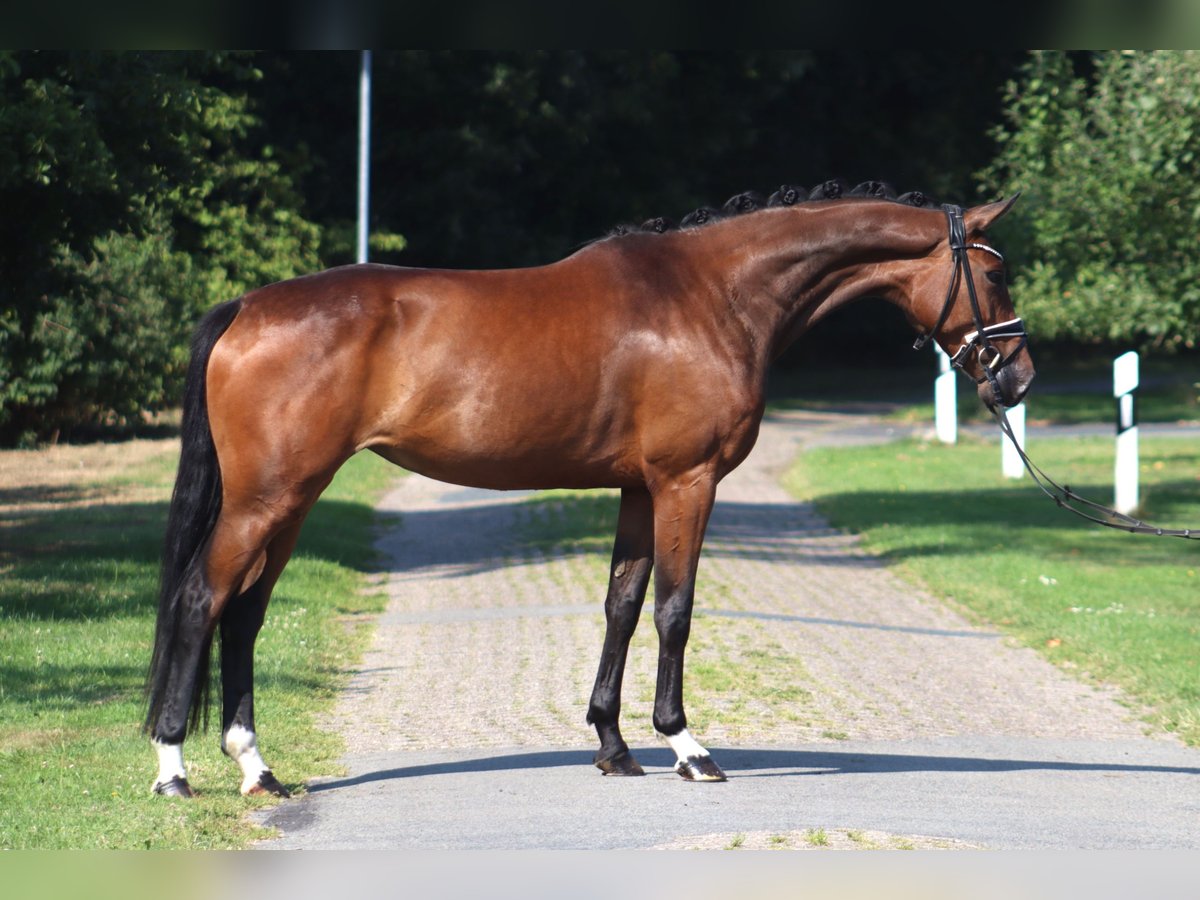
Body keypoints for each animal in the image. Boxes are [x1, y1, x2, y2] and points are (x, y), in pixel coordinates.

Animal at [147, 181, 1032, 796]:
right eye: (995, 275)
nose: (1019, 376)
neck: (714, 296)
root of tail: (245, 306)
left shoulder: (640, 490)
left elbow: (624, 603)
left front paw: (612, 745)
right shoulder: (686, 482)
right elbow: (675, 609)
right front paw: (686, 746)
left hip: (291, 501)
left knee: (244, 615)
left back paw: (256, 769)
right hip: (267, 500)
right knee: (201, 601)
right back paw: (173, 768)